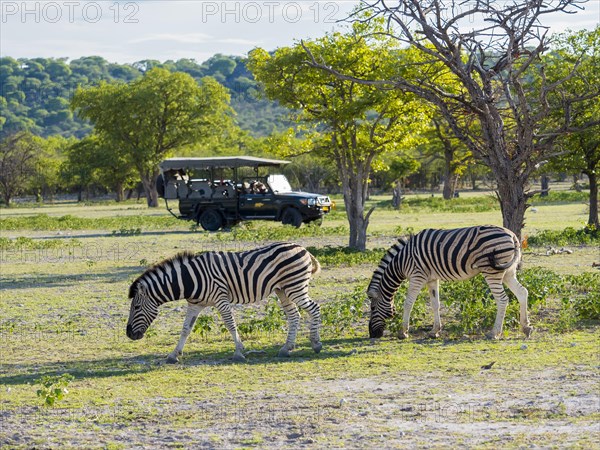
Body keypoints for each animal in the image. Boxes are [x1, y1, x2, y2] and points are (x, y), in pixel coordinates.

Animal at [126, 243, 324, 362]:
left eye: (136, 307)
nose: (129, 334)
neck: (189, 280)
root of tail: (304, 249)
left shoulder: (220, 298)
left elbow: (230, 324)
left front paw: (238, 352)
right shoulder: (195, 304)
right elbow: (185, 329)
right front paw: (174, 355)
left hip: (295, 286)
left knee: (314, 308)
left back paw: (316, 344)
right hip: (282, 290)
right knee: (294, 315)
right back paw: (286, 348)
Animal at [368, 227, 532, 340]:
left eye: (373, 308)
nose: (372, 335)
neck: (401, 262)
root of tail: (512, 235)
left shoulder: (417, 276)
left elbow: (408, 303)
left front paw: (403, 332)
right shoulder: (432, 279)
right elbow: (435, 304)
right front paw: (434, 331)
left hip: (492, 271)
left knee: (502, 299)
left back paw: (494, 333)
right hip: (508, 271)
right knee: (522, 292)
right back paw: (526, 328)